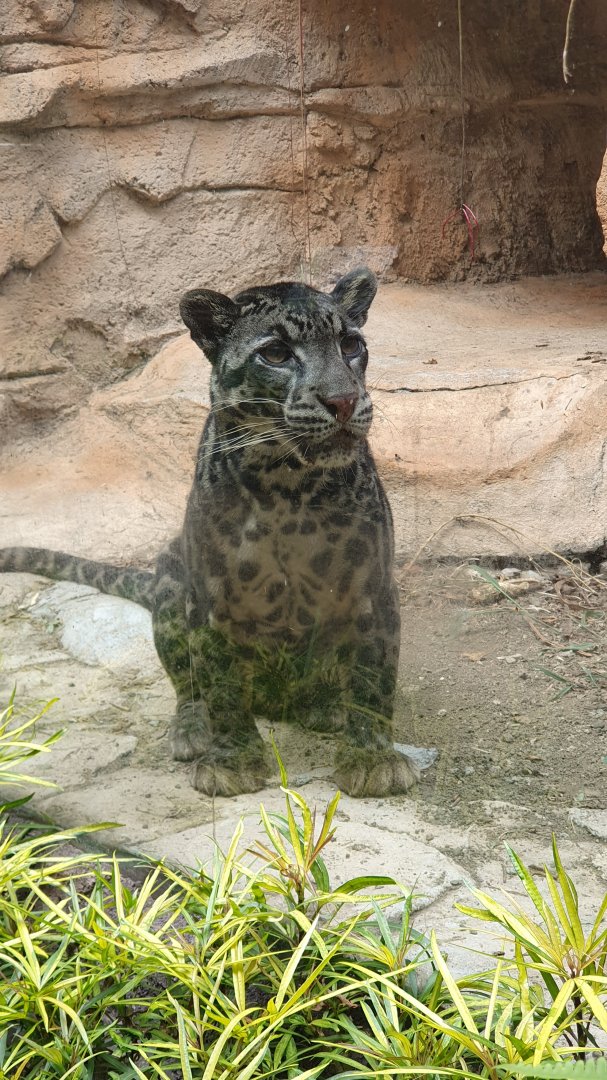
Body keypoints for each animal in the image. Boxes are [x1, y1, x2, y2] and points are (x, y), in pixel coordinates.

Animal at [0, 268, 419, 798]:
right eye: (276, 353)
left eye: (351, 345)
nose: (343, 401)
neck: (288, 487)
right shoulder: (212, 599)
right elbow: (221, 685)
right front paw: (231, 761)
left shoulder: (372, 588)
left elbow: (373, 680)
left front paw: (372, 759)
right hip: (169, 584)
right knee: (188, 685)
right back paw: (191, 730)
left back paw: (330, 709)